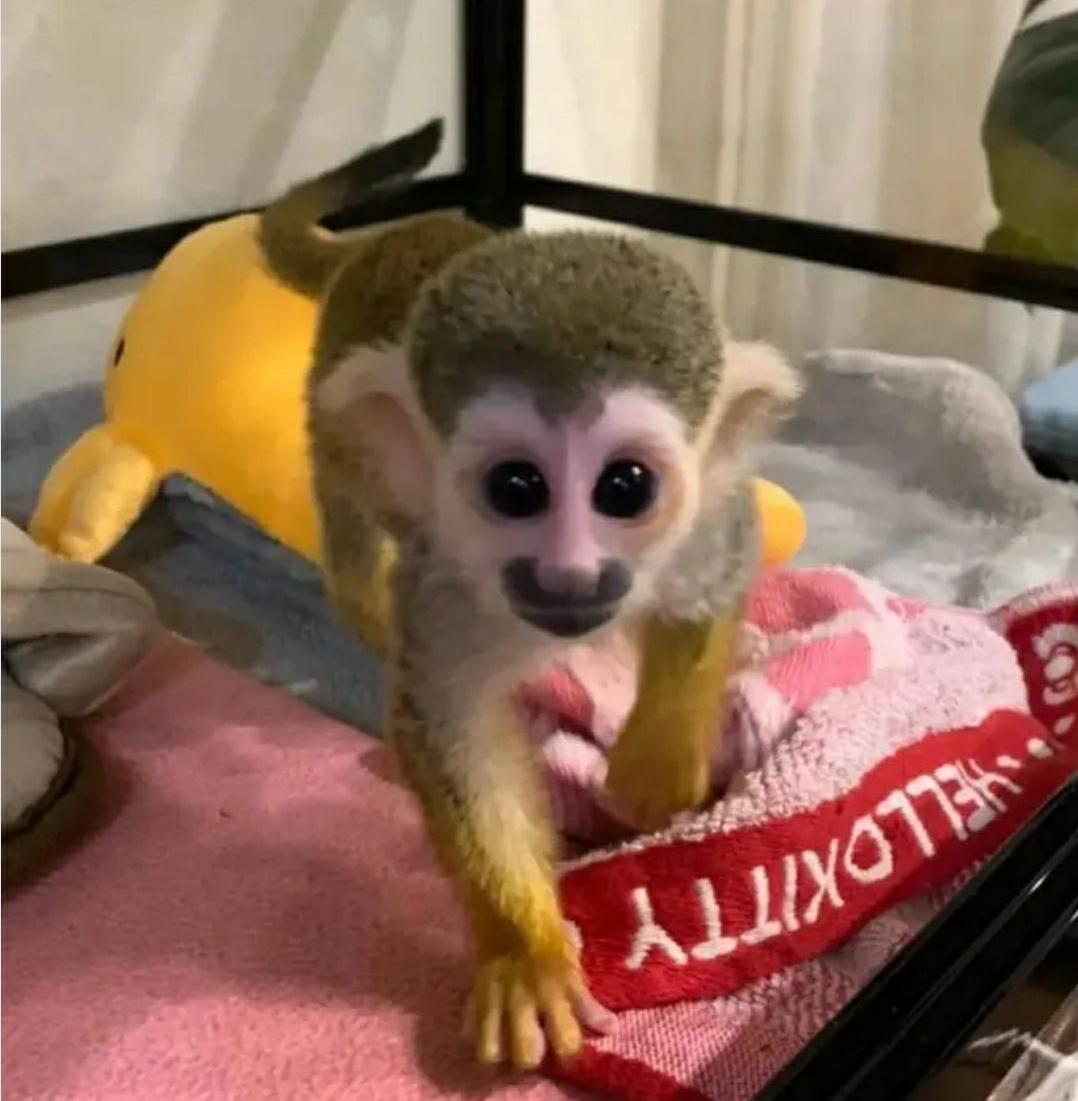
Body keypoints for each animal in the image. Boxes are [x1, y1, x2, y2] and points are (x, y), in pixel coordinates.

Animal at [259, 119, 801, 1070]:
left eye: (625, 486)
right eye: (515, 488)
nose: (569, 574)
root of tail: (403, 234)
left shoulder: (707, 514)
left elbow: (717, 582)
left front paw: (656, 768)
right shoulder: (443, 579)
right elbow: (454, 725)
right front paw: (524, 952)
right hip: (339, 431)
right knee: (355, 552)